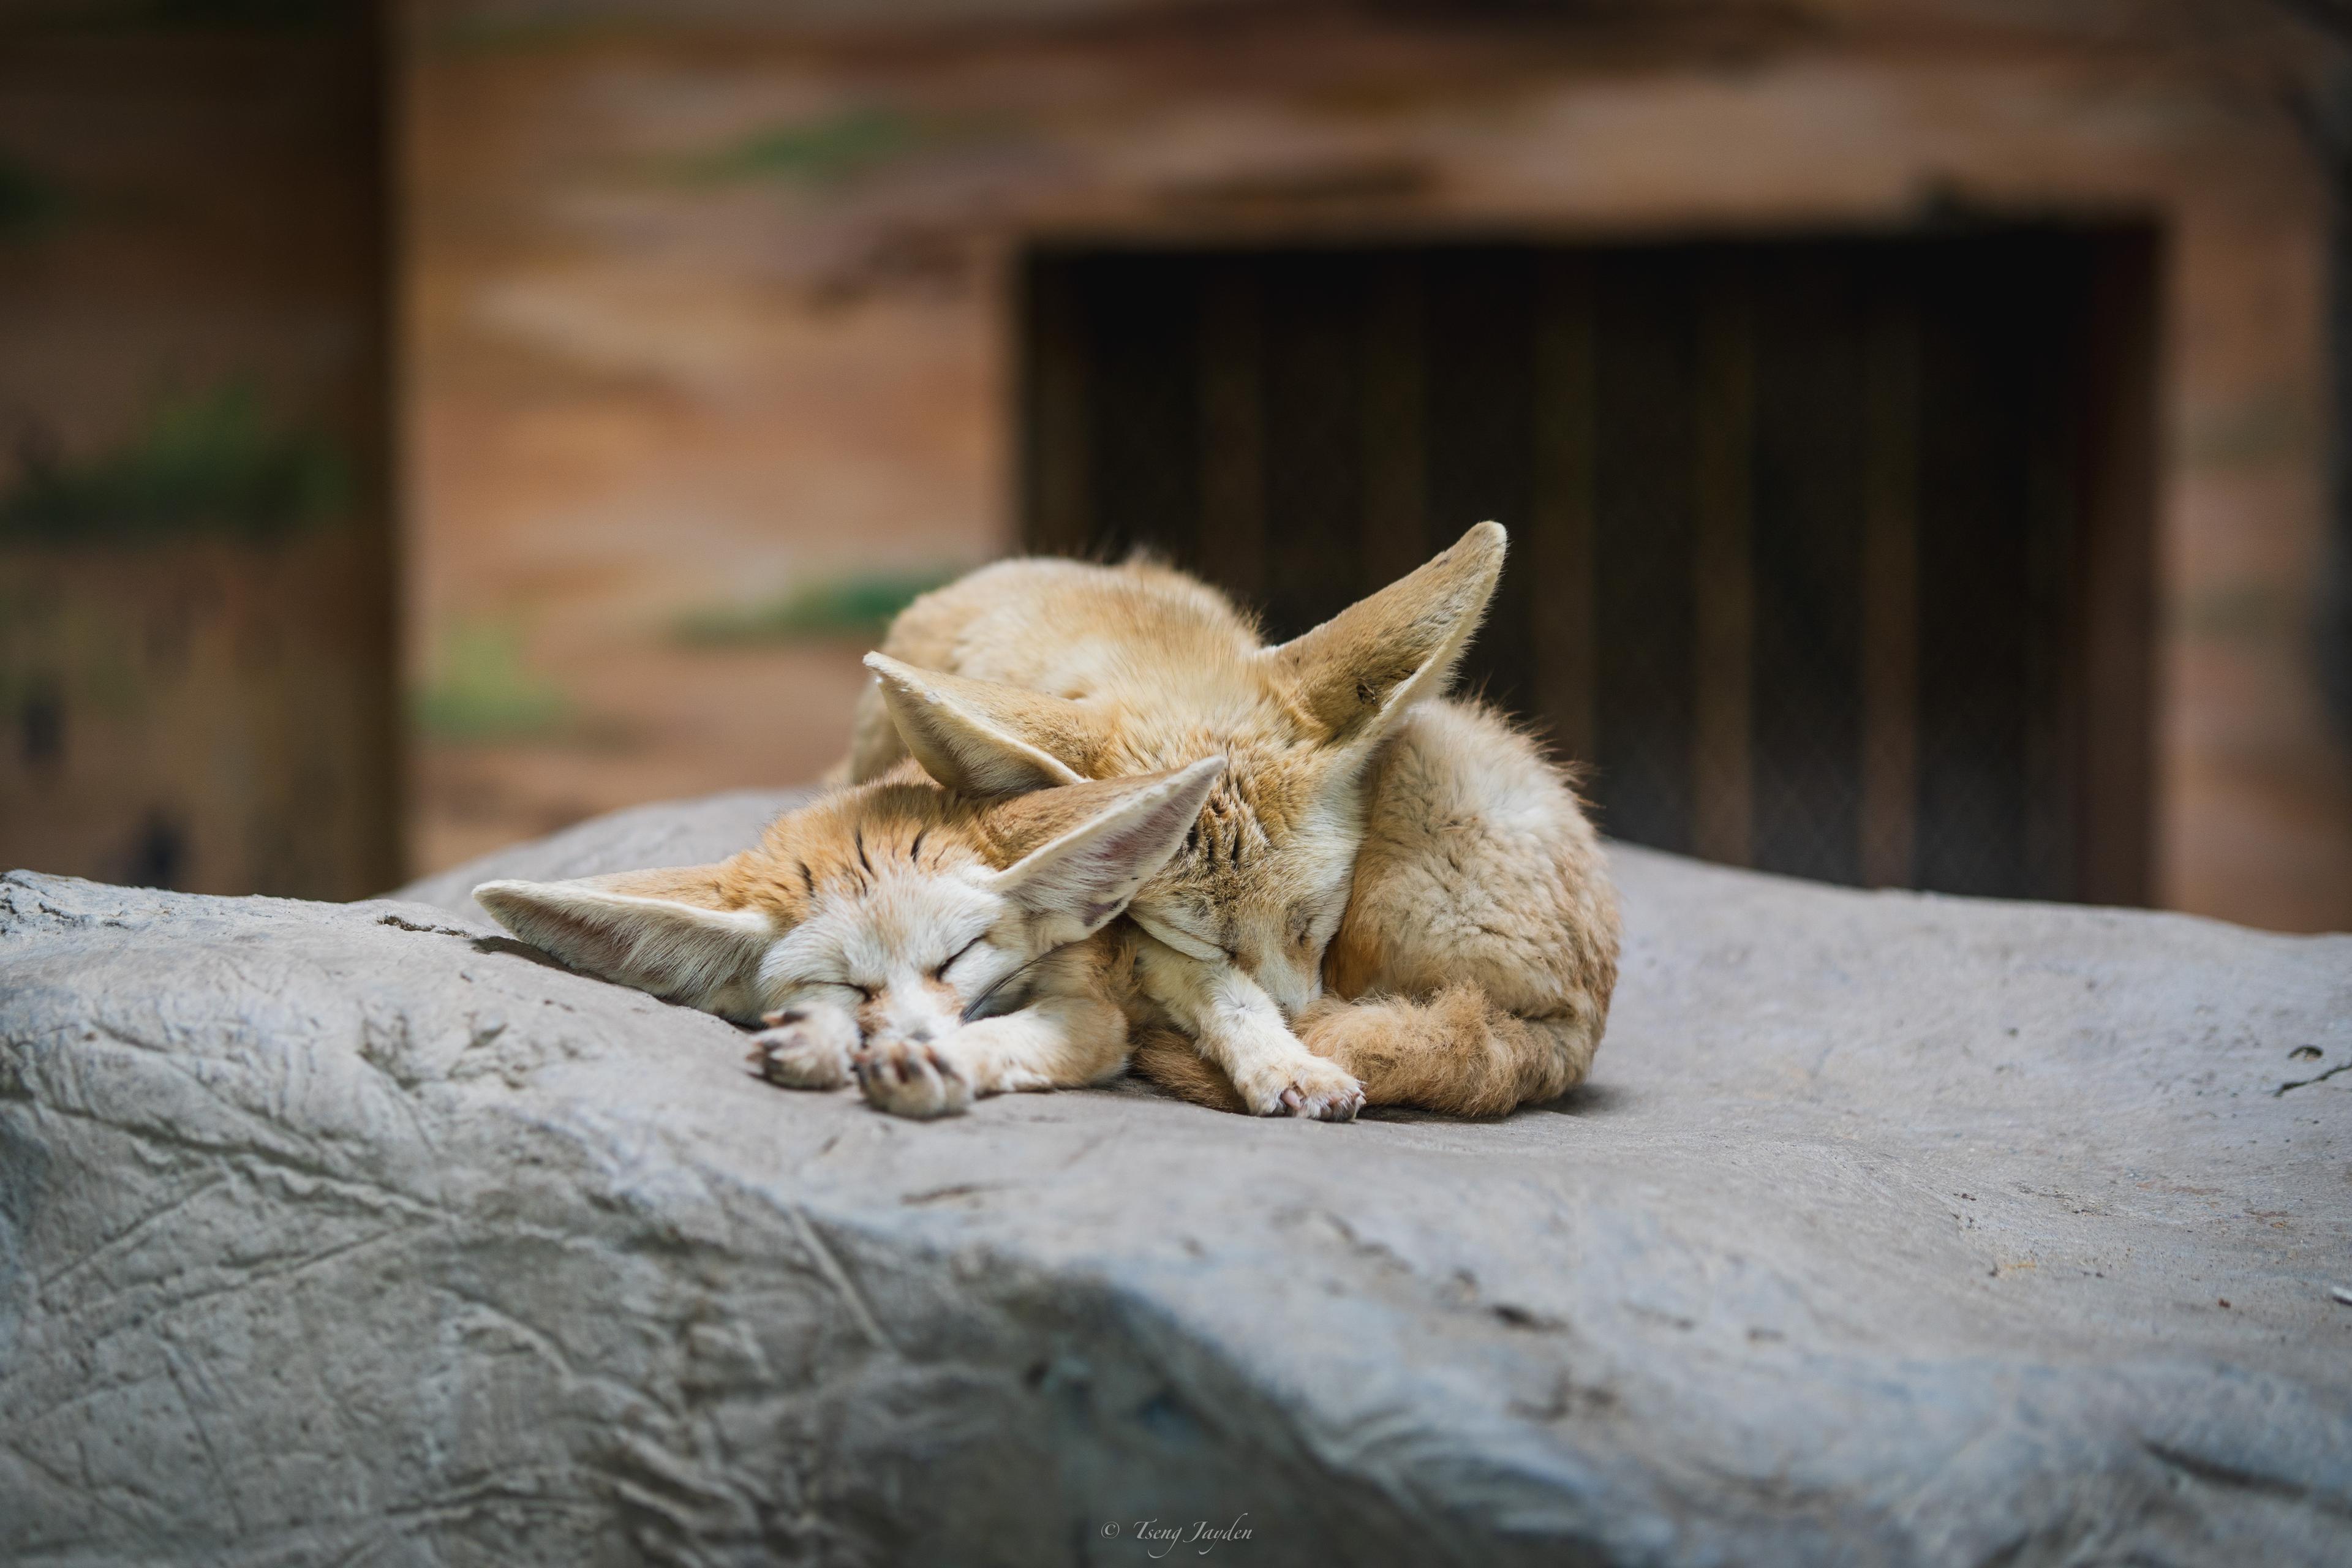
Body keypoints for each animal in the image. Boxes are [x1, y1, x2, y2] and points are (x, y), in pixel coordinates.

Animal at [470, 756, 1223, 1114]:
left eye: (956, 958)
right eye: (843, 983)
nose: (918, 1039)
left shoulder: (1091, 1007)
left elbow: (1008, 1035)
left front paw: (939, 1063)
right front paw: (818, 1039)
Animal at [842, 522, 1618, 1123]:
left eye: (1314, 923)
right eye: (1206, 937)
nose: (1299, 1024)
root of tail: (1573, 1025)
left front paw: (1288, 1058)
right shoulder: (1123, 925)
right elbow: (1213, 987)